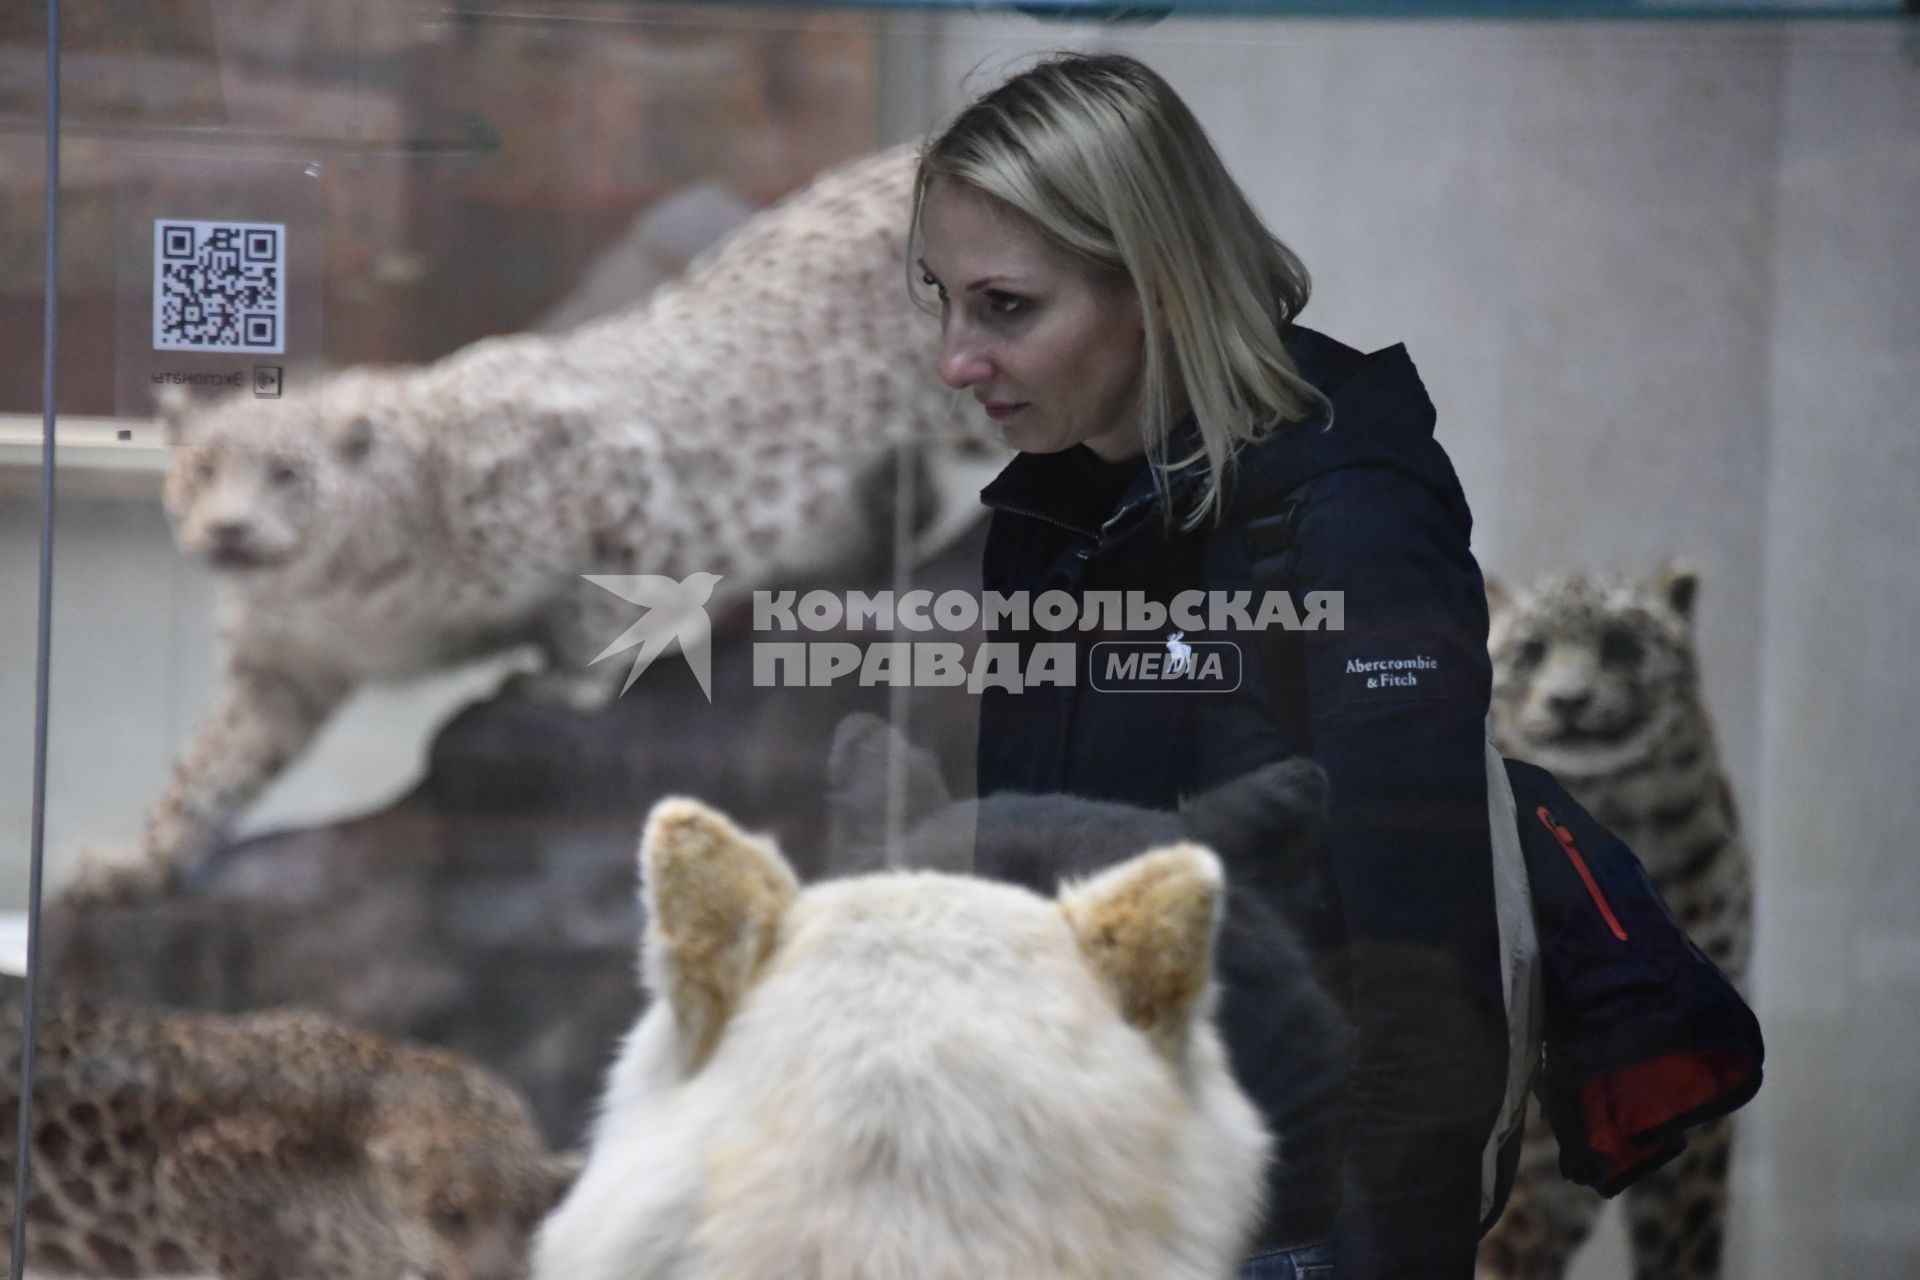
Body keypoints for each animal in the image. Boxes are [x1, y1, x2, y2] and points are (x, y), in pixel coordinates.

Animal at [103, 144, 998, 901]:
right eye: (200, 470)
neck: (343, 593)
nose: (227, 530)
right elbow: (211, 764)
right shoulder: (278, 671)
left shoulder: (614, 476)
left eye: (288, 473)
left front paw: (561, 681)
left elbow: (593, 603)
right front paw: (133, 863)